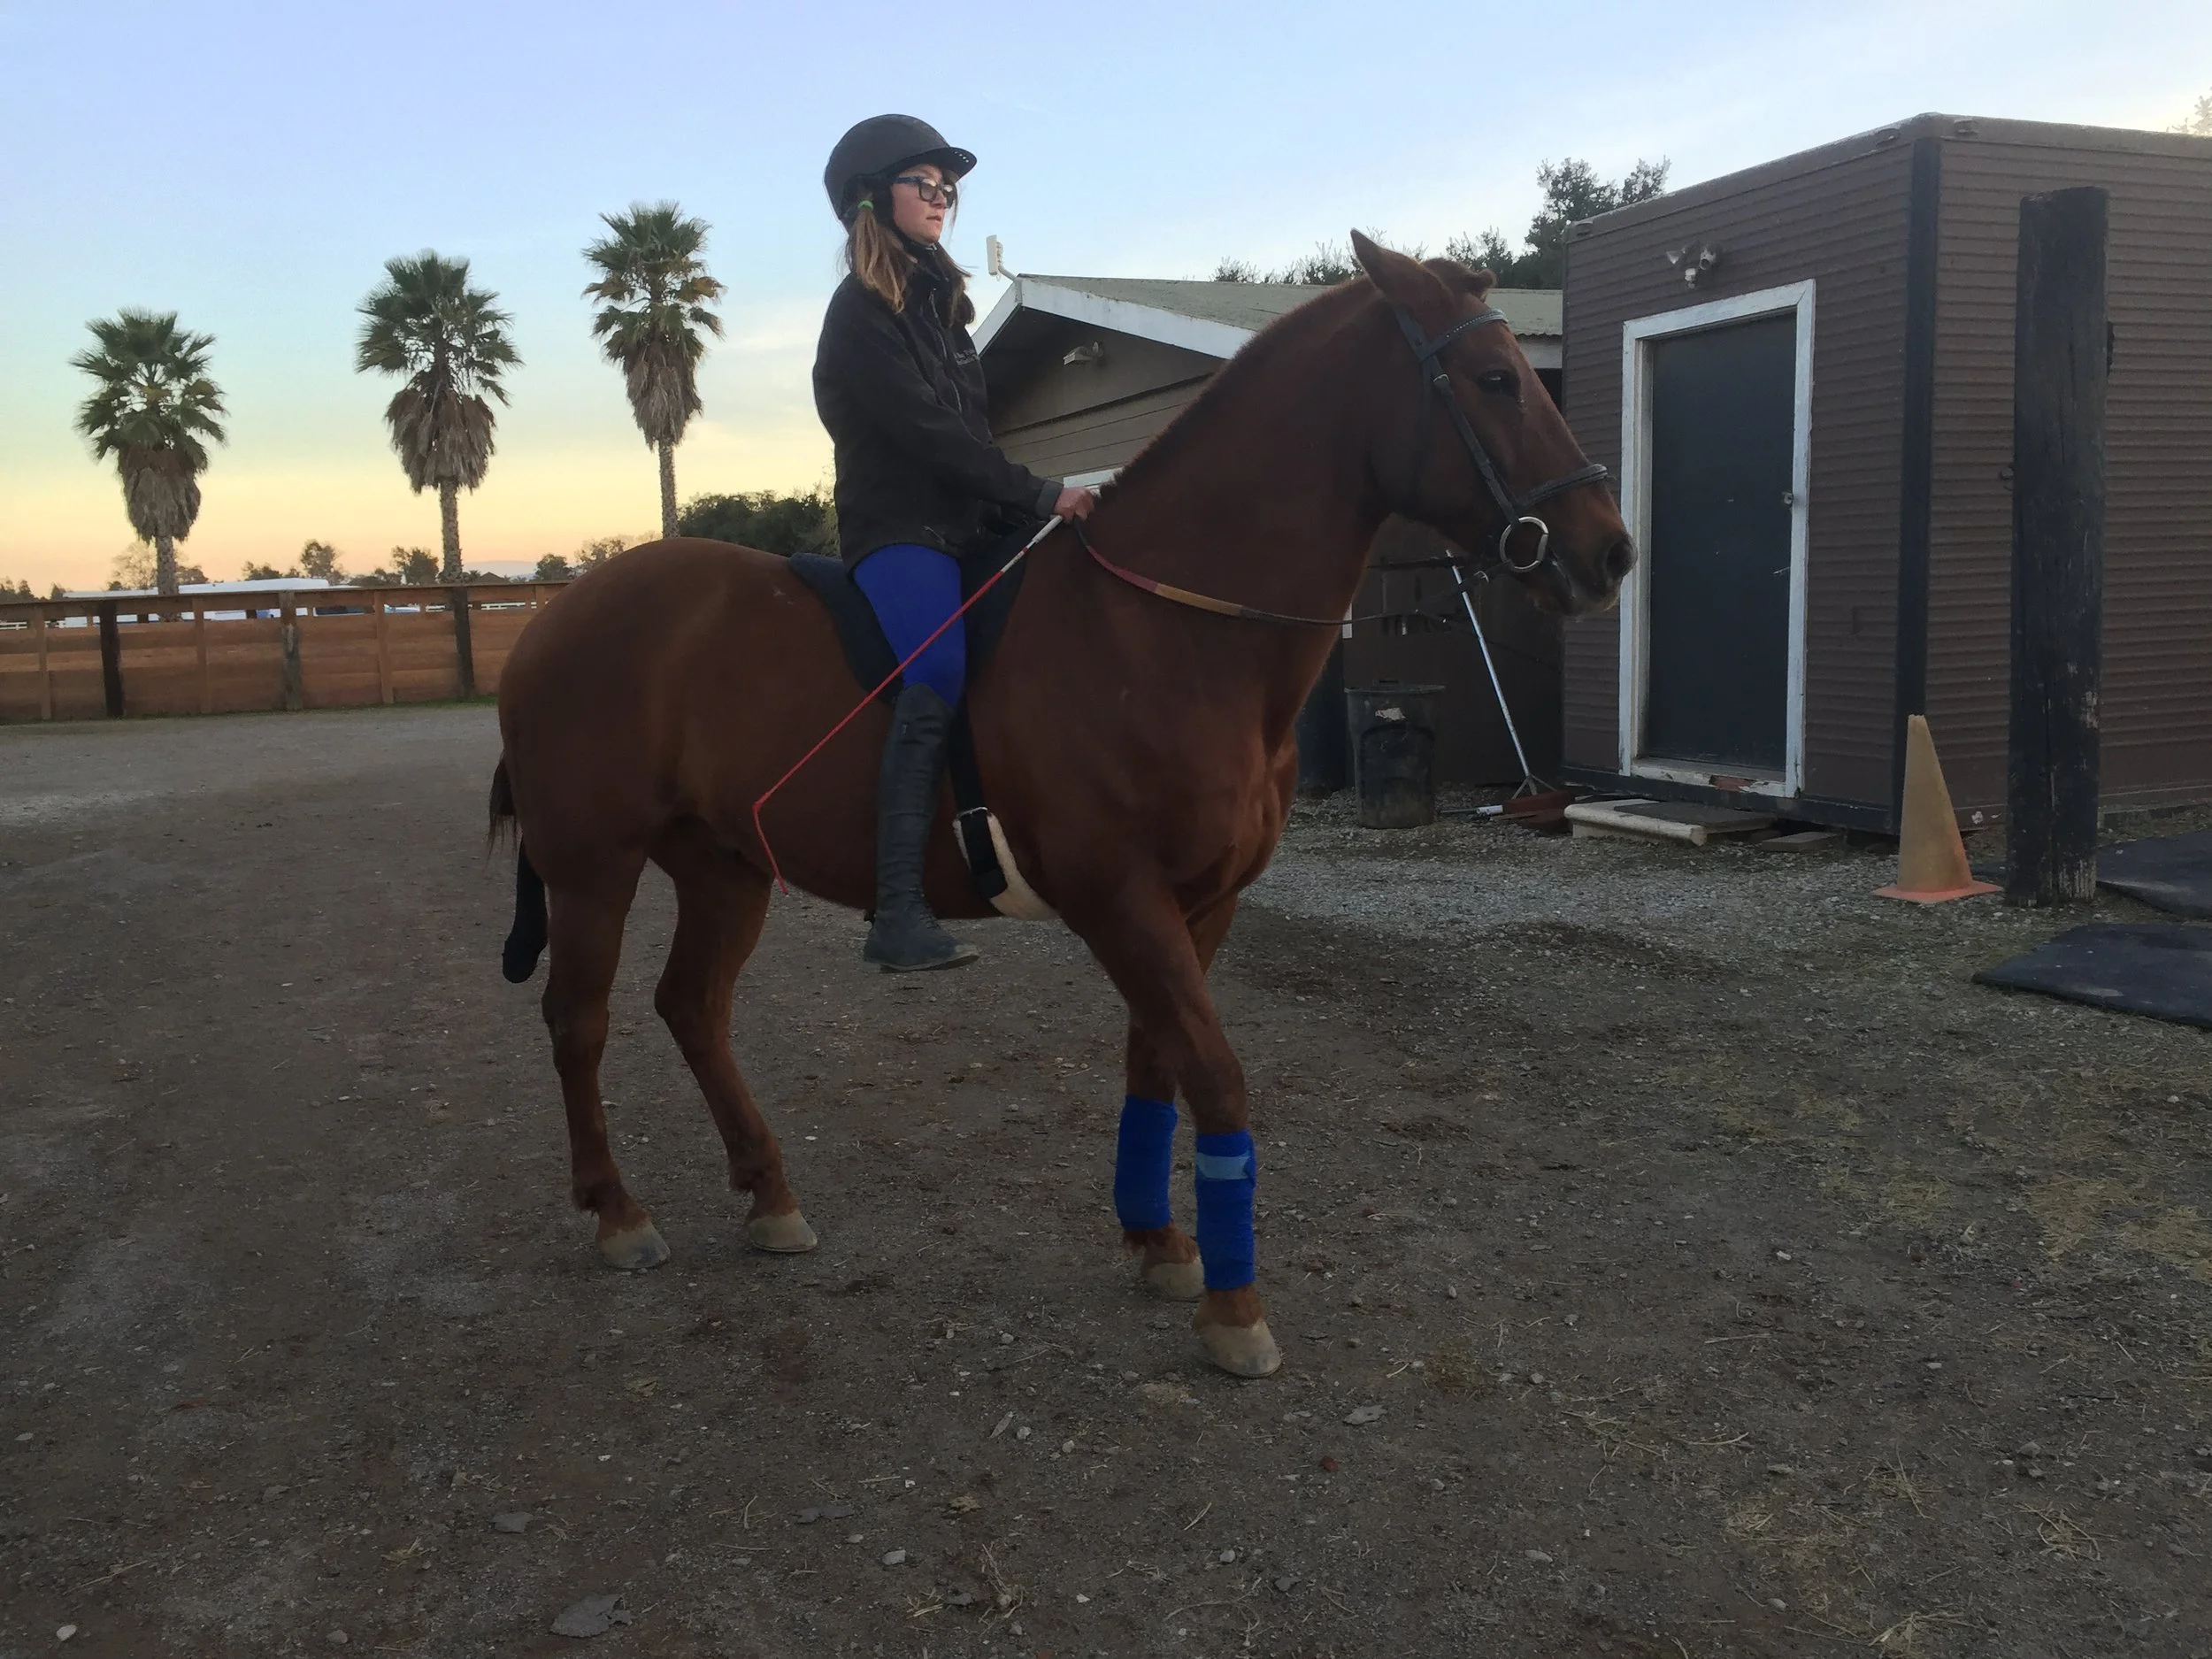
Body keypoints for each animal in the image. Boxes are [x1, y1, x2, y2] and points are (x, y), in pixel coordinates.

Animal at [489, 231, 1633, 1379]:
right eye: (1493, 380)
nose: (1609, 551)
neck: (1163, 629)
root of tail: (555, 616)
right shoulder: (1122, 899)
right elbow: (1214, 1075)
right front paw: (1234, 1309)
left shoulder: (1198, 904)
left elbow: (1157, 1067)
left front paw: (1162, 1245)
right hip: (594, 871)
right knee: (577, 1022)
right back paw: (619, 1215)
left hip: (725, 869)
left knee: (692, 1008)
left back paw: (770, 1198)